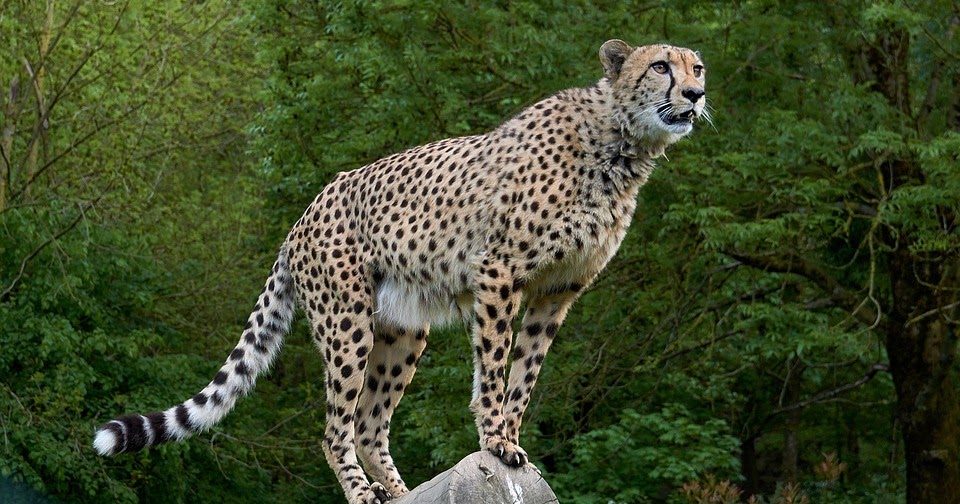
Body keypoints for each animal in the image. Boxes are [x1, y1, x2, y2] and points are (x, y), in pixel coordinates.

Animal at [93, 39, 707, 504]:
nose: (696, 95)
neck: (621, 144)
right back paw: (363, 493)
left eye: (696, 67)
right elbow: (494, 368)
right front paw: (493, 439)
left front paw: (509, 439)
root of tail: (302, 216)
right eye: (660, 66)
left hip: (403, 329)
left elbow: (525, 373)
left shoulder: (557, 291)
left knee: (369, 423)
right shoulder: (499, 272)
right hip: (347, 321)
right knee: (335, 427)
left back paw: (401, 491)